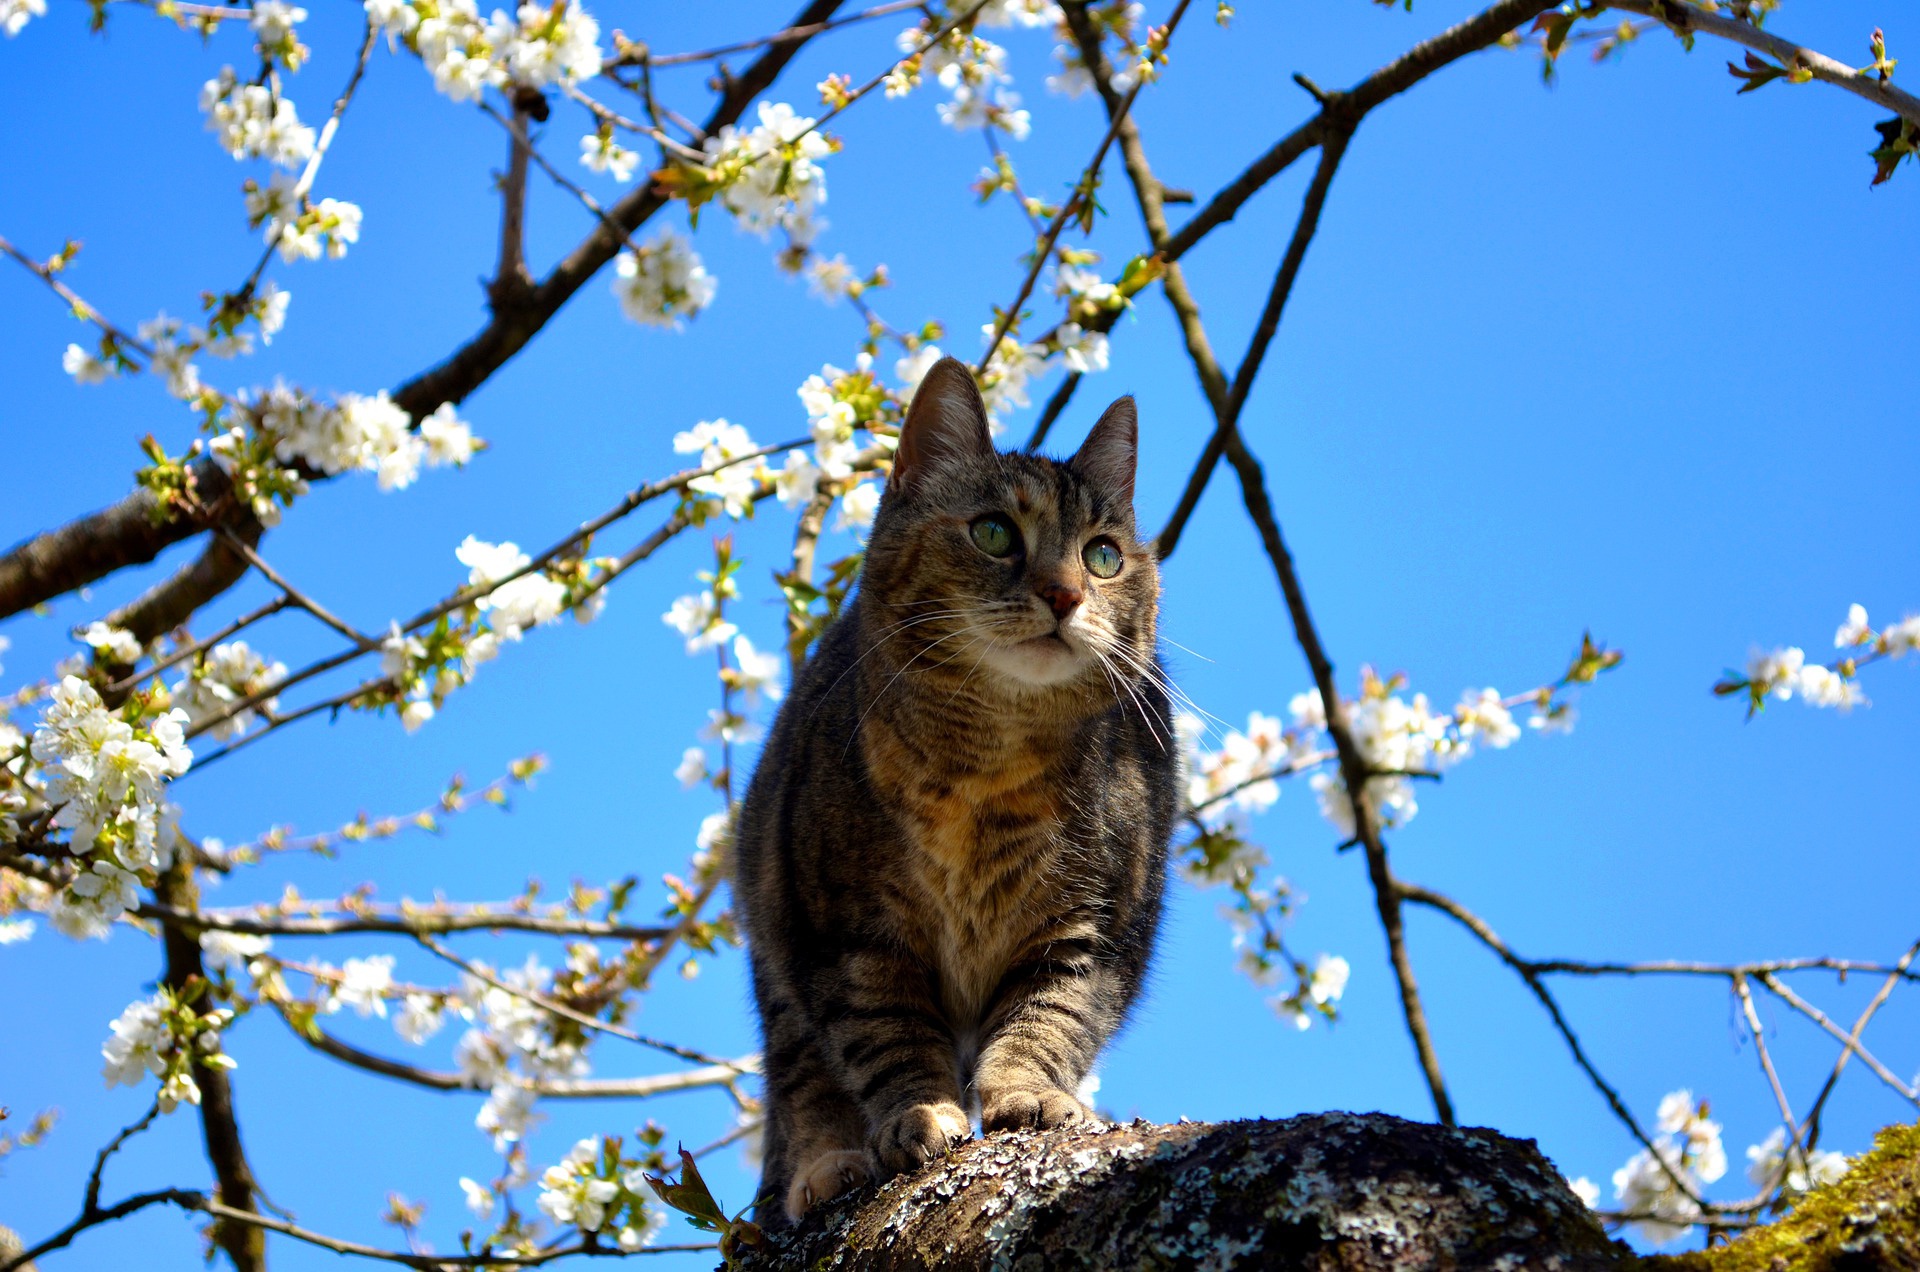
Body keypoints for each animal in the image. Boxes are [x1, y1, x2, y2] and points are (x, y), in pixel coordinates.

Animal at [733, 359, 1182, 1229]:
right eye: (995, 533)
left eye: (1104, 556)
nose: (1067, 593)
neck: (987, 772)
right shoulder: (853, 937)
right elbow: (888, 1039)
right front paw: (918, 1115)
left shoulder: (1088, 932)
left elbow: (1048, 1022)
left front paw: (1030, 1097)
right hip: (776, 938)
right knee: (804, 1079)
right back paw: (826, 1165)